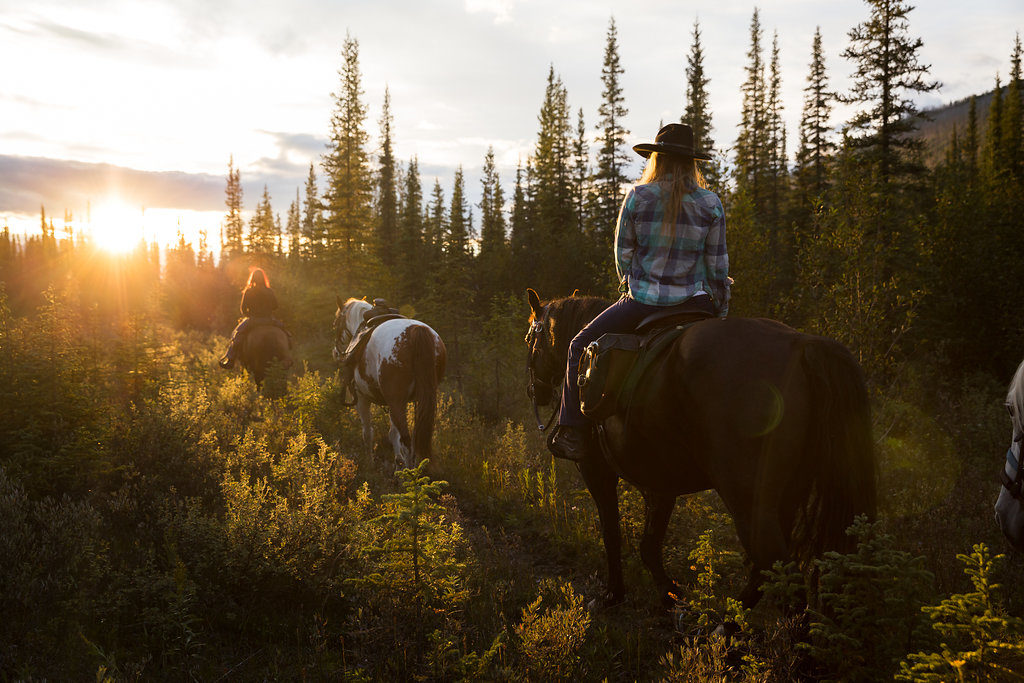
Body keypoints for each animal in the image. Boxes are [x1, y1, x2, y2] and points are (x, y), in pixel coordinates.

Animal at [333, 299, 446, 471]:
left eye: (336, 323)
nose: (336, 352)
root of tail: (416, 331)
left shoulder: (362, 398)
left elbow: (368, 433)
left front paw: (370, 463)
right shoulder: (396, 404)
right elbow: (393, 434)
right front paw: (397, 462)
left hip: (396, 403)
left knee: (407, 443)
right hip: (421, 401)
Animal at [528, 288, 872, 614]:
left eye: (530, 337)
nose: (538, 392)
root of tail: (802, 345)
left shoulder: (596, 470)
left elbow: (612, 534)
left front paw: (613, 595)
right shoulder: (659, 482)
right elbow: (649, 544)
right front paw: (670, 597)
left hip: (748, 498)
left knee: (783, 576)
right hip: (788, 492)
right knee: (766, 570)